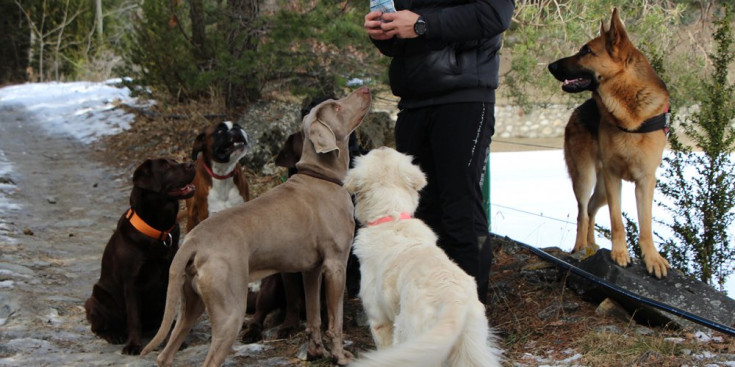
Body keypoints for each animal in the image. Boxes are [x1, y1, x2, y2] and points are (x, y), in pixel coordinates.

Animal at [85, 159, 196, 356]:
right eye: (165, 166)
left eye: (175, 162)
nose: (191, 163)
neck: (159, 232)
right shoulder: (132, 282)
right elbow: (134, 318)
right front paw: (133, 346)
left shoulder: (170, 277)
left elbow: (166, 316)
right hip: (98, 296)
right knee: (98, 327)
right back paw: (114, 335)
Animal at [141, 87, 370, 367]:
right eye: (336, 106)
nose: (365, 89)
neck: (321, 176)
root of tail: (192, 241)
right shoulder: (335, 265)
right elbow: (335, 321)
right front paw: (340, 355)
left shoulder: (311, 270)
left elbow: (314, 317)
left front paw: (317, 352)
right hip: (230, 310)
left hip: (191, 303)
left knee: (165, 354)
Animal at [548, 8, 668, 278]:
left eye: (586, 51)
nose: (550, 65)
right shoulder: (614, 178)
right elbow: (617, 221)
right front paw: (620, 254)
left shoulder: (646, 180)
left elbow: (646, 224)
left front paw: (652, 258)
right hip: (586, 177)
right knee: (582, 212)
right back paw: (581, 248)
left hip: (601, 189)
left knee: (591, 209)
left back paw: (591, 246)